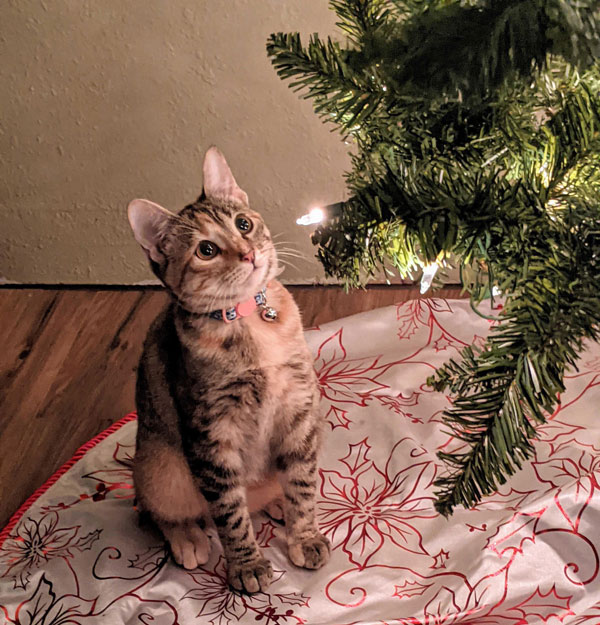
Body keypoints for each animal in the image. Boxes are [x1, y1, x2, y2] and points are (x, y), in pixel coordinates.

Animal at [128, 147, 330, 596]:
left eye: (243, 224)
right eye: (206, 250)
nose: (248, 253)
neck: (250, 320)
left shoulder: (298, 409)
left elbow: (303, 482)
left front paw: (304, 533)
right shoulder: (211, 436)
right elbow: (230, 514)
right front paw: (247, 564)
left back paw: (276, 502)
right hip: (160, 467)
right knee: (160, 510)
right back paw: (188, 537)